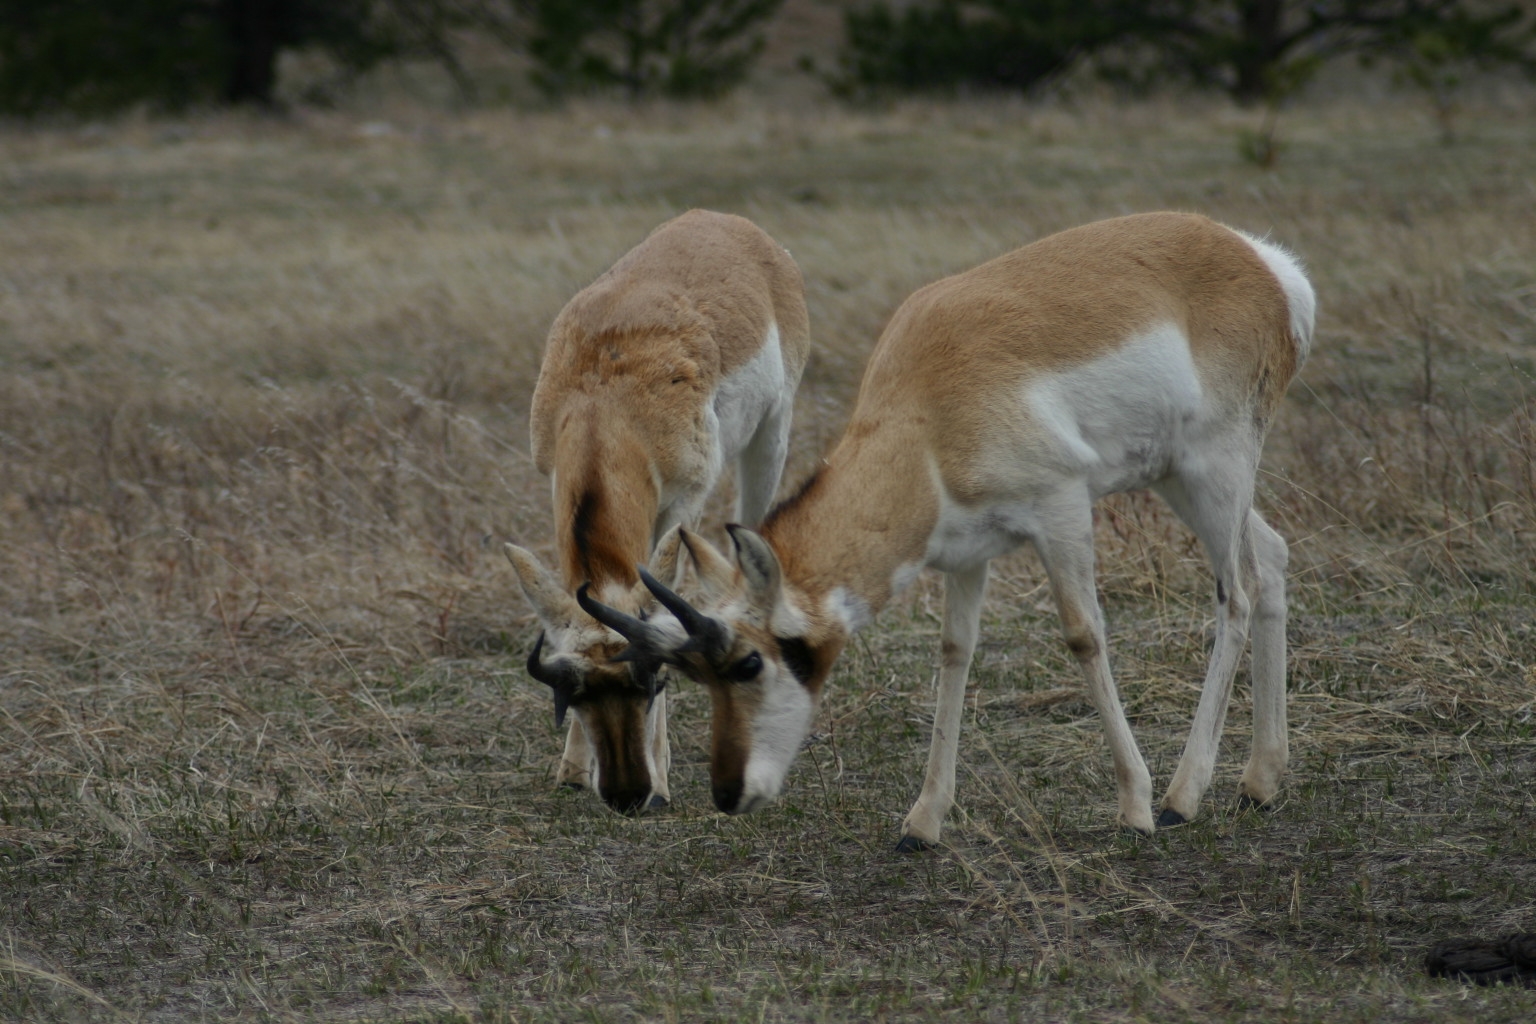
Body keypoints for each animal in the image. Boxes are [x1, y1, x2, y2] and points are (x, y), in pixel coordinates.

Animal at [504, 209, 810, 815]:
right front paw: (572, 769)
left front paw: (665, 780)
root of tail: (732, 225)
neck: (606, 401)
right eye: (574, 690)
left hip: (770, 439)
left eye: (650, 682)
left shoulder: (683, 504)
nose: (629, 794)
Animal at [582, 212, 1315, 848]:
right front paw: (922, 822)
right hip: (1179, 478)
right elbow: (955, 653)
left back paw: (1180, 798)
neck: (928, 411)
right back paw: (1259, 782)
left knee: (1237, 591)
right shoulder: (967, 555)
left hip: (1215, 469)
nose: (729, 793)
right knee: (1273, 557)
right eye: (690, 674)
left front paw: (1133, 805)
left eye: (749, 662)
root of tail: (1259, 259)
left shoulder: (1061, 510)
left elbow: (1083, 636)